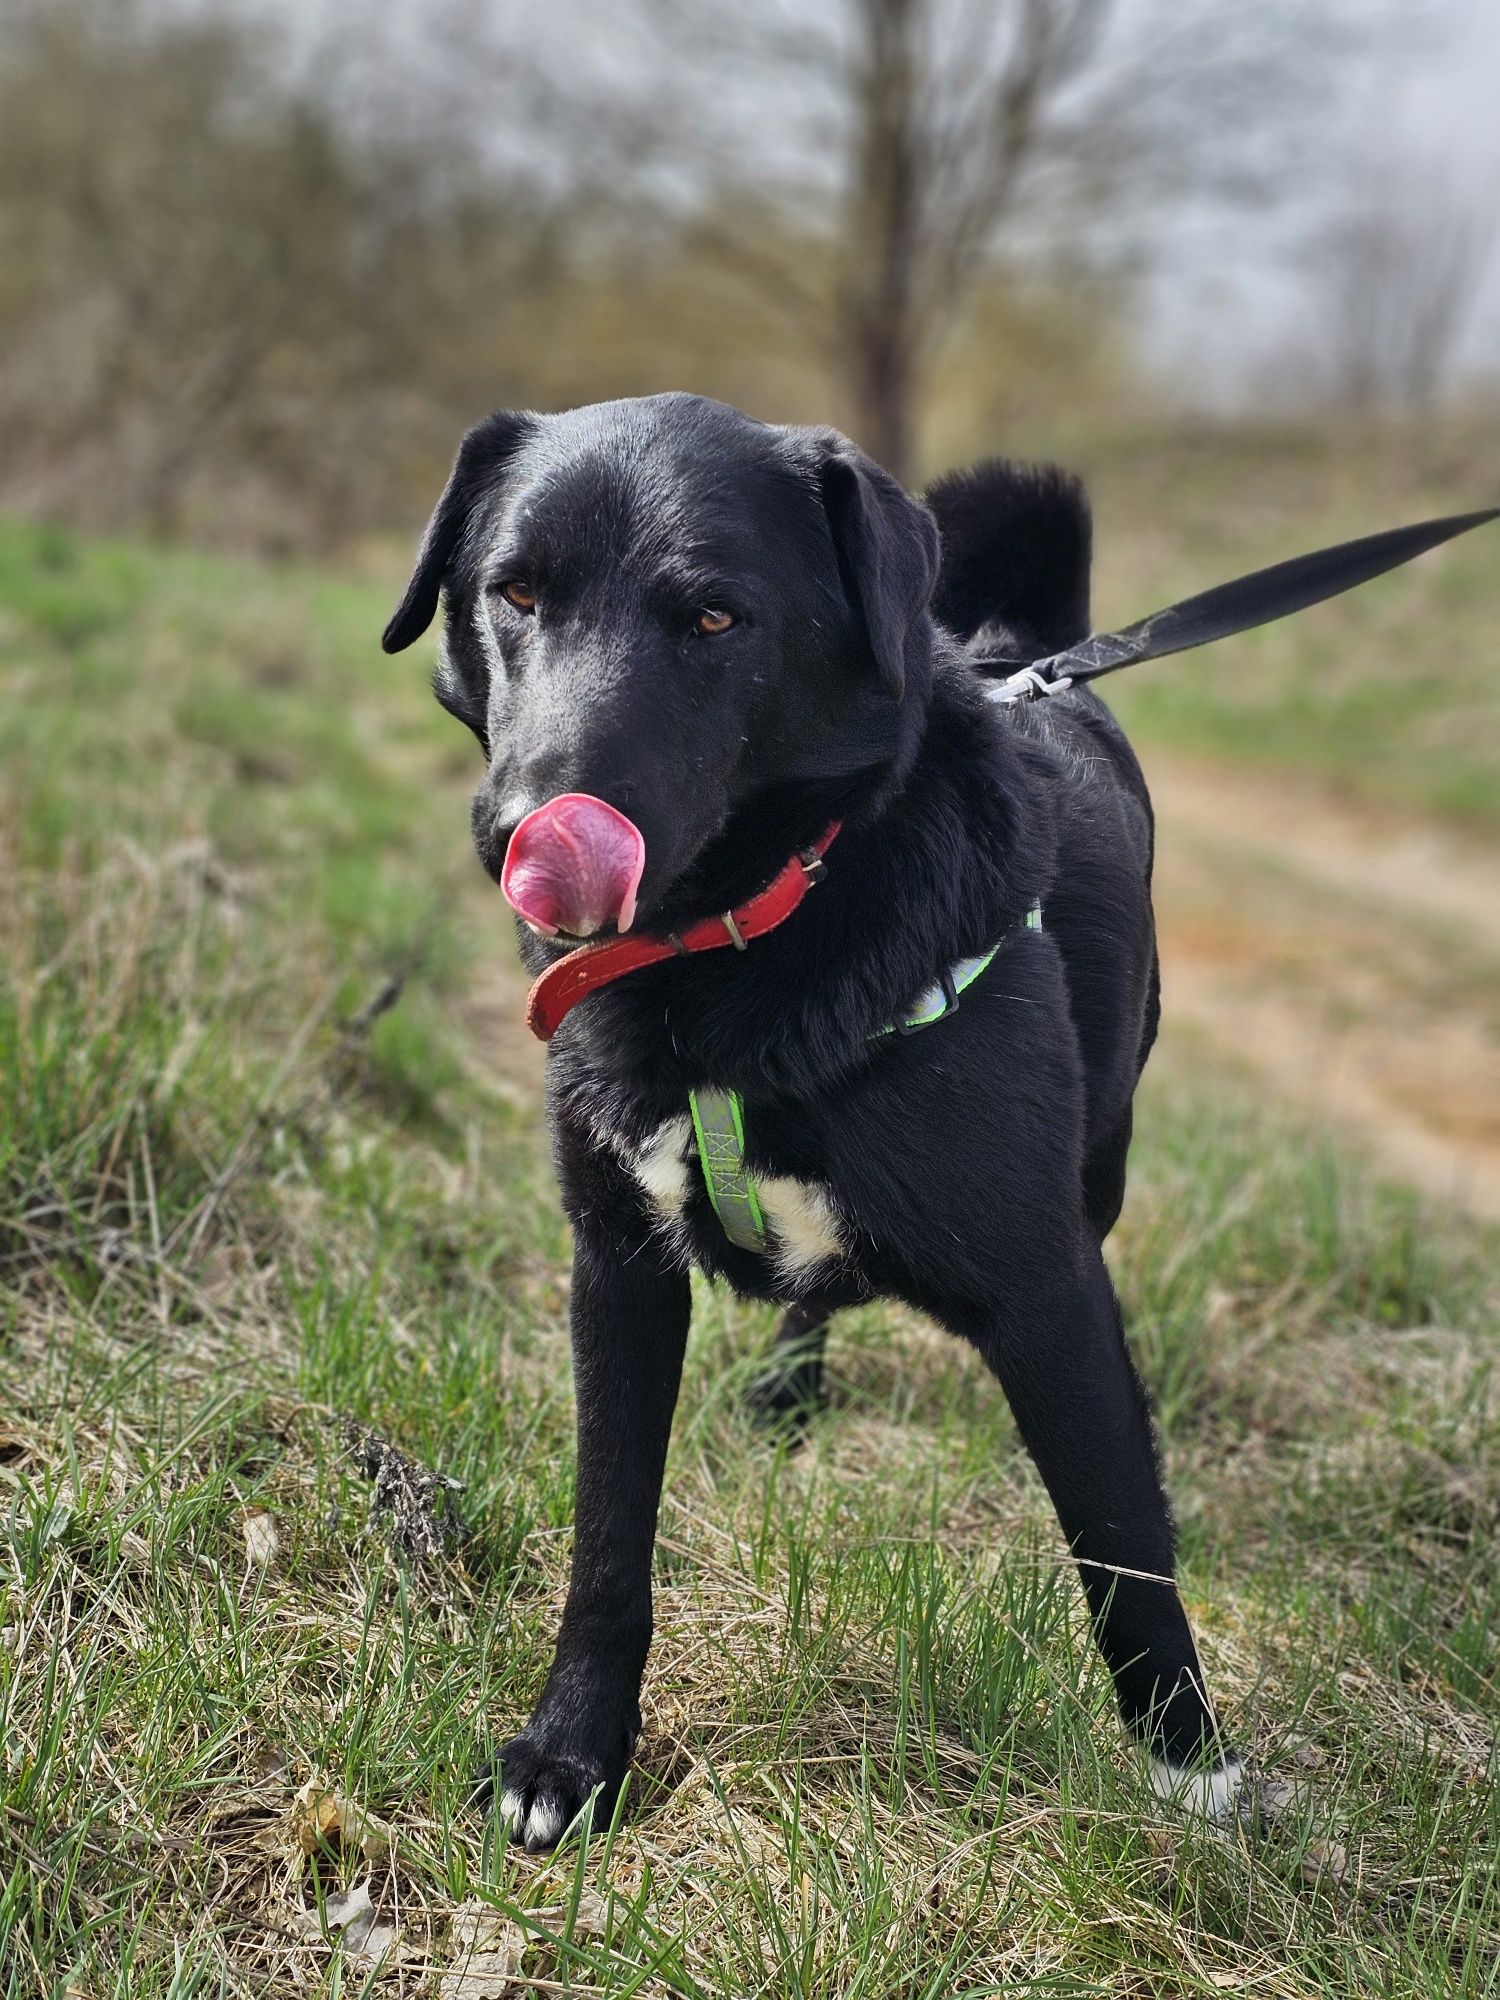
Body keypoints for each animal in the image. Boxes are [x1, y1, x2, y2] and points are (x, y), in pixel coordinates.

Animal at [388, 386, 1248, 1840]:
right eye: (514, 591)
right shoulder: (617, 1262)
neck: (741, 944)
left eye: (715, 618)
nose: (524, 829)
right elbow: (610, 1532)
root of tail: (1025, 656)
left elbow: (1124, 1541)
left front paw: (1195, 1766)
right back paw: (791, 1380)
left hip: (1105, 1156)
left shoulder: (1048, 1285)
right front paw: (574, 1751)